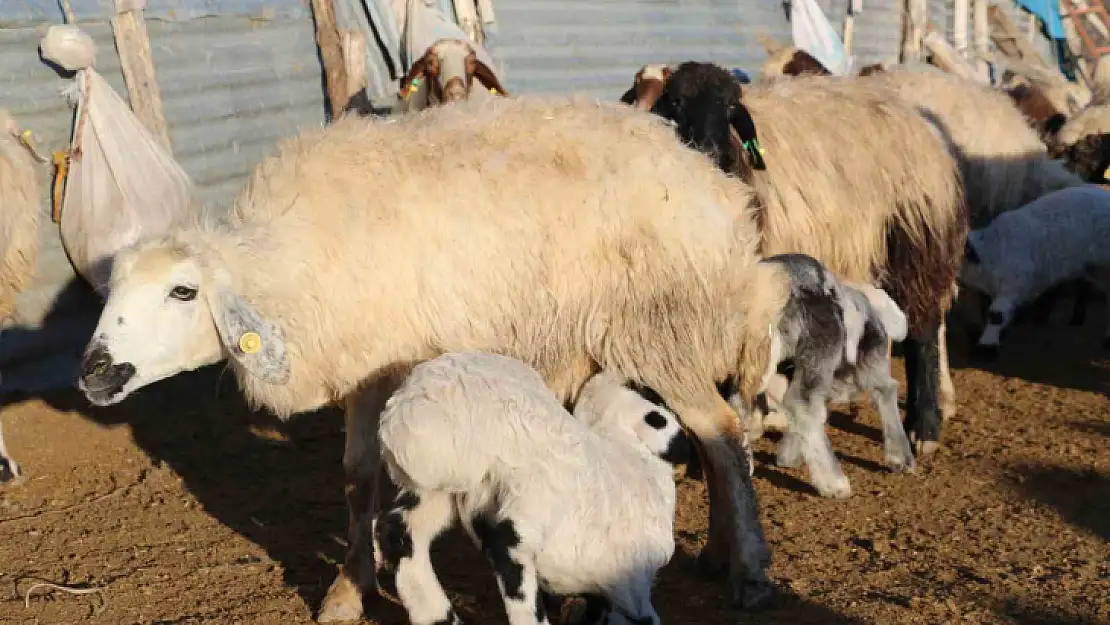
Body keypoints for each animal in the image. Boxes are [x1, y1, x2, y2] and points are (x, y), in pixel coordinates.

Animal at [368, 353, 688, 625]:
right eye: (653, 394)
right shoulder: (631, 584)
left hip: (438, 487)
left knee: (398, 530)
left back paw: (439, 616)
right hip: (532, 496)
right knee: (508, 553)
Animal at [634, 61, 972, 459]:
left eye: (730, 108)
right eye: (676, 102)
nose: (709, 149)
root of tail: (920, 122)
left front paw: (754, 417)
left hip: (914, 241)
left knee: (924, 333)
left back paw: (925, 426)